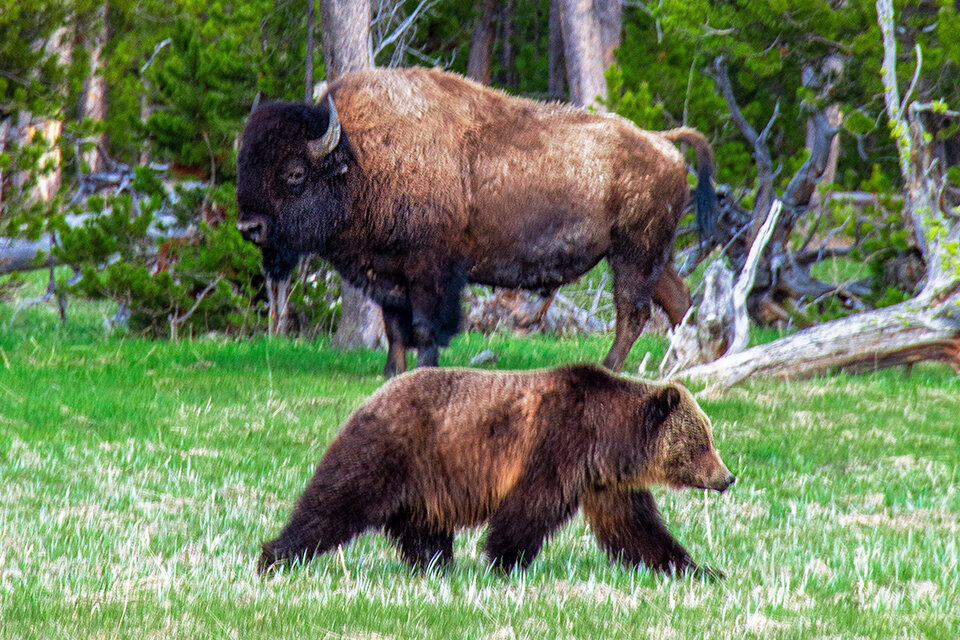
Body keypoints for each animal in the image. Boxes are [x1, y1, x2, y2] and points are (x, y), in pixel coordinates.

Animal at [236, 67, 715, 375]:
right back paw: (687, 364)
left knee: (632, 310)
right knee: (676, 300)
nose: (249, 228)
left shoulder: (429, 268)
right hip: (651, 255)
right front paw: (391, 372)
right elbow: (394, 327)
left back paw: (611, 367)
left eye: (294, 173)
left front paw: (423, 370)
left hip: (632, 253)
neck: (360, 157)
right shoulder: (386, 271)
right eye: (244, 164)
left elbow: (425, 325)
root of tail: (662, 141)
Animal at [257, 364, 735, 577]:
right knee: (335, 502)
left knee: (422, 528)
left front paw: (697, 569)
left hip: (425, 480)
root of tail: (372, 395)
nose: (727, 477)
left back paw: (434, 566)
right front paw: (505, 561)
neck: (608, 436)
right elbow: (529, 507)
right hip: (392, 448)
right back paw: (274, 556)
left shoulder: (605, 481)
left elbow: (636, 528)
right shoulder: (558, 444)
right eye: (703, 442)